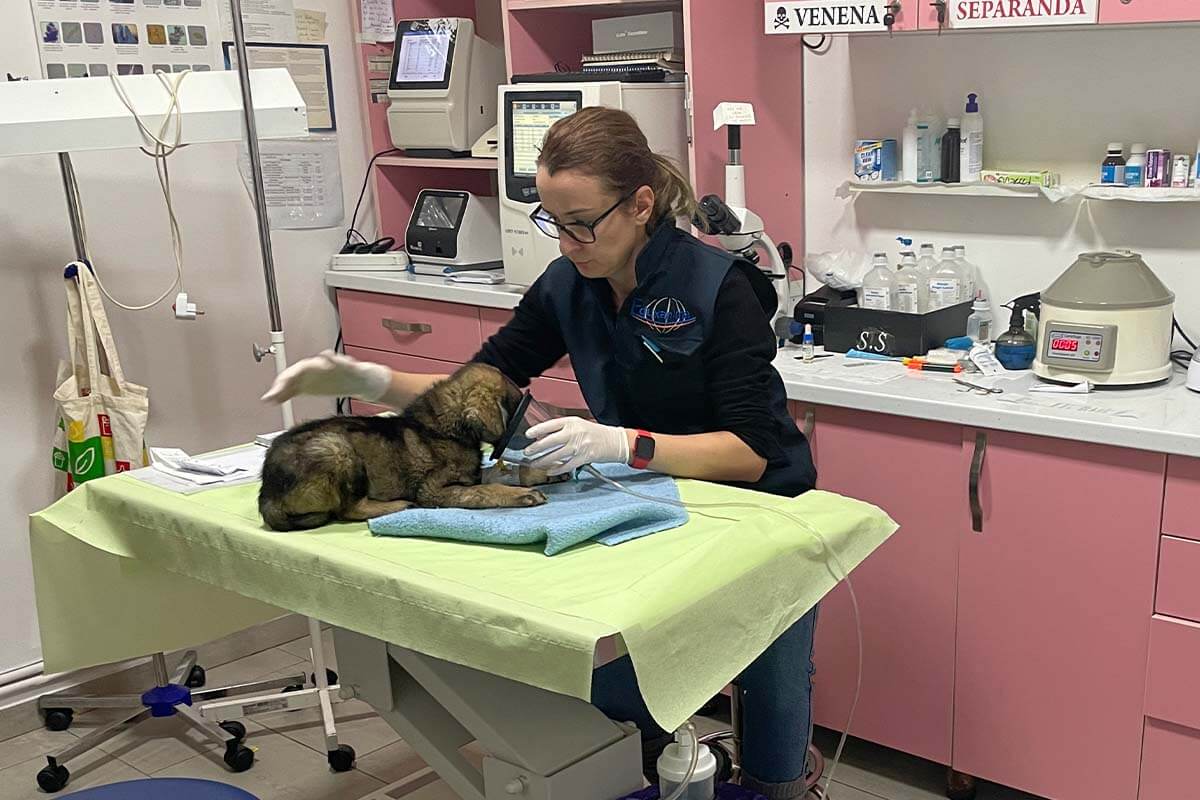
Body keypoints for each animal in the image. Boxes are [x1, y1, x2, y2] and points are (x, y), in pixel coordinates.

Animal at [262, 362, 549, 532]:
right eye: (516, 405)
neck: (443, 426)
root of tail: (267, 493)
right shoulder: (433, 490)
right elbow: (484, 489)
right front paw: (522, 494)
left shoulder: (470, 475)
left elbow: (492, 477)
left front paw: (538, 473)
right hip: (337, 450)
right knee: (349, 509)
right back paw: (398, 505)